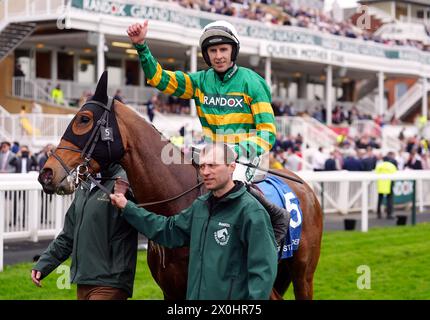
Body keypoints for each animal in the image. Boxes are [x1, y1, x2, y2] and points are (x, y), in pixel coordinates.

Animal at [38, 72, 320, 300]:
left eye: (84, 119)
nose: (46, 173)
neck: (175, 204)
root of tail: (307, 189)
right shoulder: (171, 289)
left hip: (303, 275)